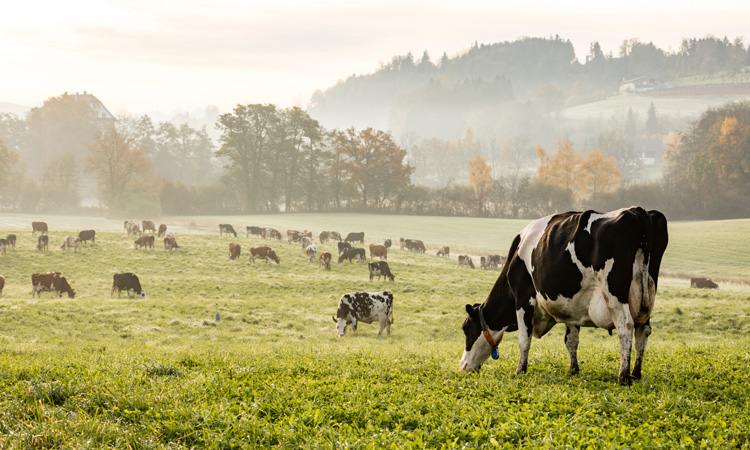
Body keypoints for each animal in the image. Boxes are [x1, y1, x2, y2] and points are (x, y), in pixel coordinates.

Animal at [462, 207, 672, 386]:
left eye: (466, 328)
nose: (463, 365)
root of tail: (637, 211)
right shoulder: (571, 307)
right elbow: (571, 340)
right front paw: (573, 370)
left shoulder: (522, 298)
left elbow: (524, 339)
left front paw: (520, 371)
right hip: (647, 296)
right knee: (643, 330)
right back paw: (636, 374)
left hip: (615, 294)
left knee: (626, 326)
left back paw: (624, 377)